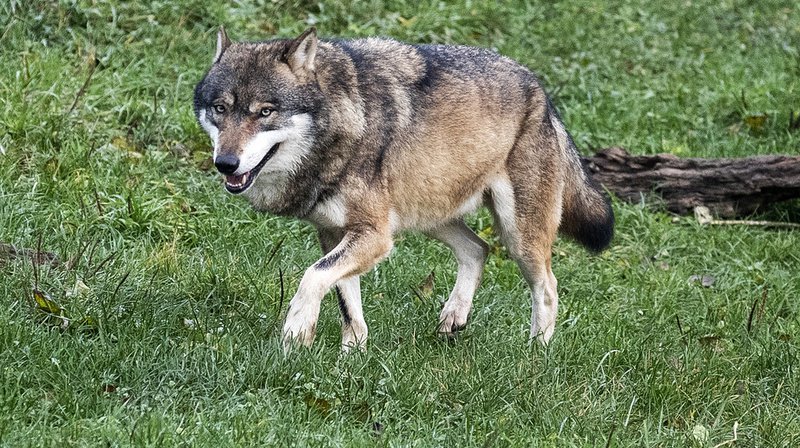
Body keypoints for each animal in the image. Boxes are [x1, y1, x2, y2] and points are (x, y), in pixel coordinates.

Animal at [194, 26, 612, 352]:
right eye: (220, 109)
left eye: (265, 112)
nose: (225, 163)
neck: (345, 124)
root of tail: (540, 90)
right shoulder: (333, 233)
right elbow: (347, 304)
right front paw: (351, 358)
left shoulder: (375, 236)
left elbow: (312, 277)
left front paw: (297, 331)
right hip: (430, 215)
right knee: (478, 249)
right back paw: (454, 316)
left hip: (518, 236)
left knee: (547, 287)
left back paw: (536, 353)